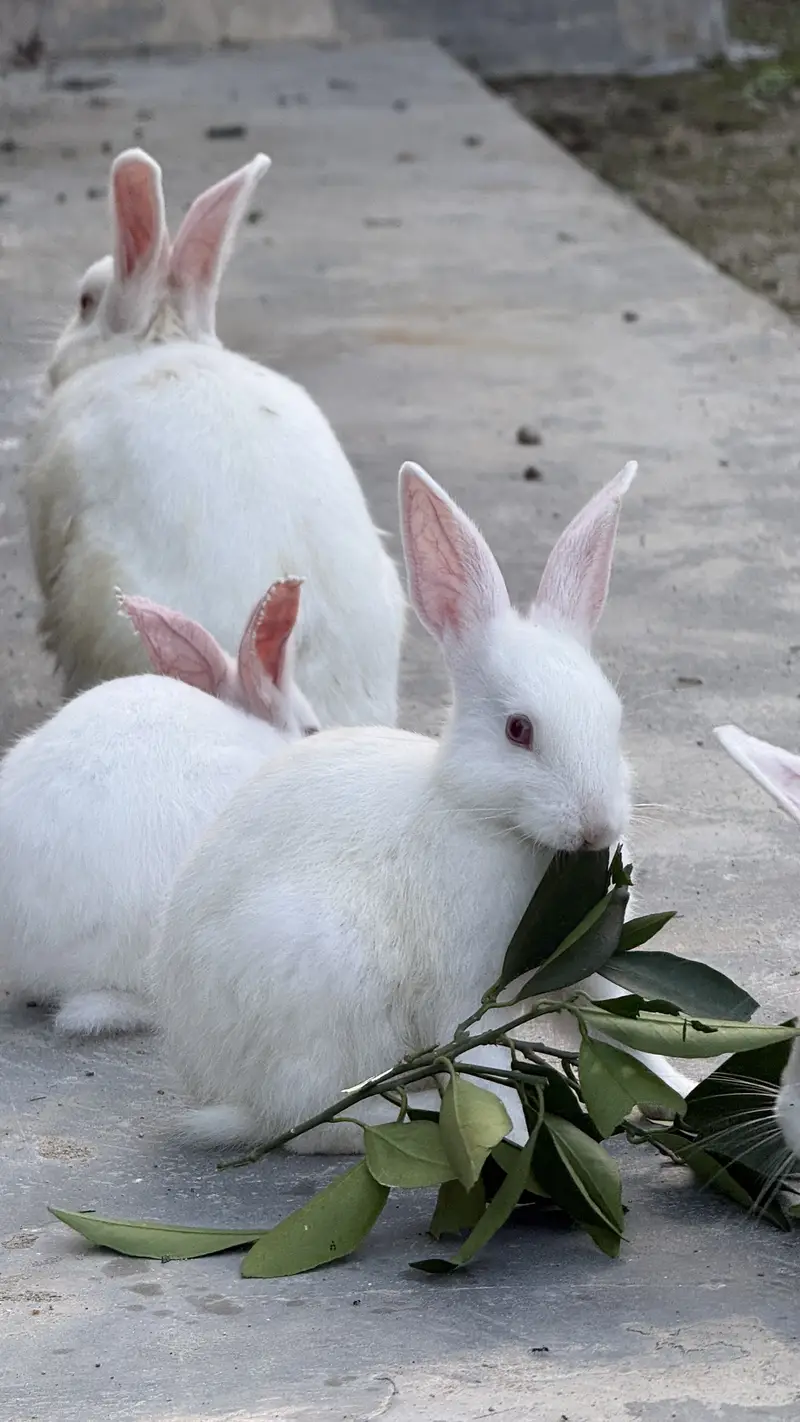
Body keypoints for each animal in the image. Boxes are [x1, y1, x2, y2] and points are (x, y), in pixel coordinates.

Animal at [152, 458, 694, 1154]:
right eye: (519, 729)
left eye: (615, 719)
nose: (597, 825)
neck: (499, 826)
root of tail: (220, 1085)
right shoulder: (465, 990)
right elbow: (479, 1065)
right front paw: (511, 1135)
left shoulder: (591, 970)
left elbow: (626, 1035)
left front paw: (681, 1093)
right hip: (323, 984)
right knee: (311, 1122)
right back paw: (418, 1117)